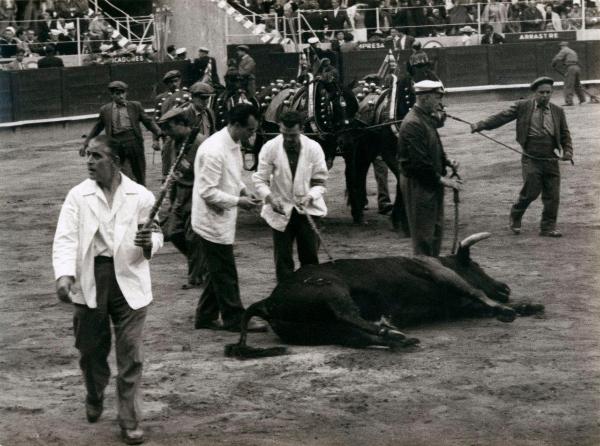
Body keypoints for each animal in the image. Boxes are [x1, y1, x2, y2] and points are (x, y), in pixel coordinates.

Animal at [225, 233, 544, 358]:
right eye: (476, 265)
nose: (505, 286)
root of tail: (267, 302)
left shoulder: (461, 305)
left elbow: (481, 304)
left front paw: (527, 305)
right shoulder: (443, 275)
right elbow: (477, 293)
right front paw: (508, 310)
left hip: (323, 331)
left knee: (358, 335)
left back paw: (398, 338)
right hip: (332, 291)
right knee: (350, 315)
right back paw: (392, 330)